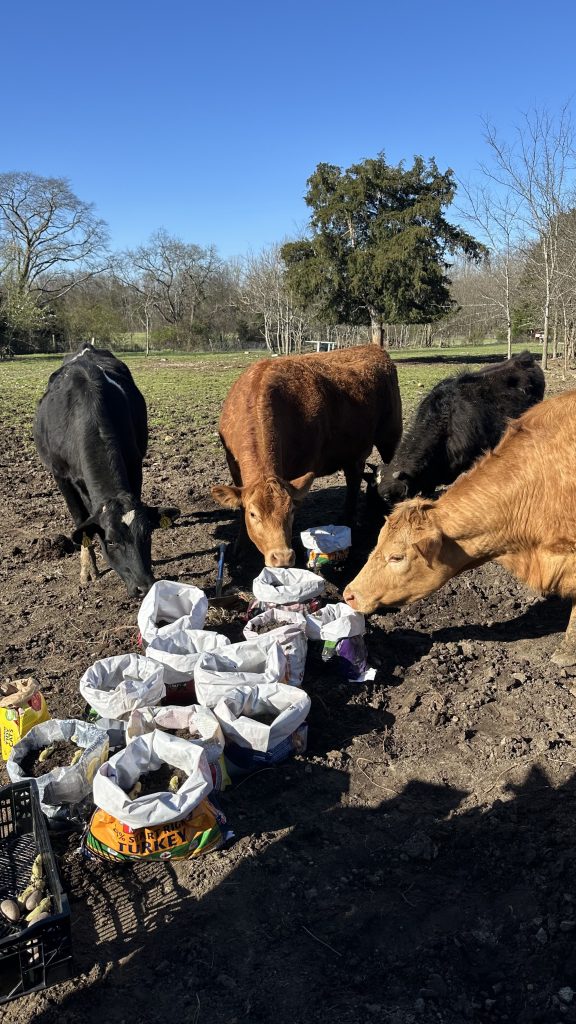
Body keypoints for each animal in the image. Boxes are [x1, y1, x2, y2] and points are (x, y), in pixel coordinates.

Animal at [33, 346, 180, 597]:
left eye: (147, 534)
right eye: (111, 541)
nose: (144, 586)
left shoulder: (134, 463)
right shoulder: (60, 475)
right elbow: (80, 521)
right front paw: (88, 568)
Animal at [211, 345, 402, 567]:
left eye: (290, 511)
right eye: (253, 513)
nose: (282, 557)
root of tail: (374, 348)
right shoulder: (234, 466)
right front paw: (240, 547)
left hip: (390, 437)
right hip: (353, 452)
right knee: (353, 480)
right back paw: (346, 519)